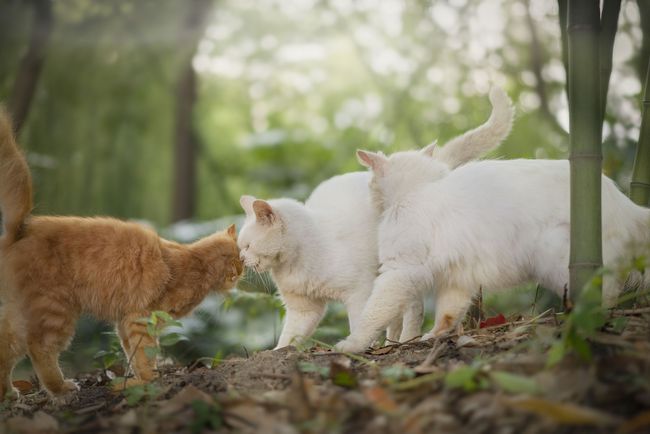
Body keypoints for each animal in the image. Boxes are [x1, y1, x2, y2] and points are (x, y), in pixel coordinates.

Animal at [0, 110, 242, 402]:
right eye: (241, 259)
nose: (244, 271)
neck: (198, 264)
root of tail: (22, 229)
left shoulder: (125, 322)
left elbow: (134, 355)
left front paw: (136, 380)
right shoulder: (141, 318)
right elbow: (145, 354)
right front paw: (147, 382)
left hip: (20, 315)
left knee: (5, 347)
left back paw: (7, 392)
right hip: (55, 312)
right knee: (39, 348)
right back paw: (60, 387)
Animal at [237, 87, 512, 350]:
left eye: (248, 245)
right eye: (240, 246)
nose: (240, 257)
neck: (294, 263)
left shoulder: (359, 292)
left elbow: (362, 321)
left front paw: (360, 345)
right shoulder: (304, 310)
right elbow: (288, 339)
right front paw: (277, 352)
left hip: (403, 267)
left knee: (412, 309)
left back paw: (405, 340)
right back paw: (391, 343)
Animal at [334, 149, 648, 352]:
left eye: (370, 182)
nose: (369, 194)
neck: (420, 188)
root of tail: (624, 204)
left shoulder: (399, 271)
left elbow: (373, 314)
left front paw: (352, 344)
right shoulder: (456, 281)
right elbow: (448, 315)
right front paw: (433, 336)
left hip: (563, 261)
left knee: (607, 291)